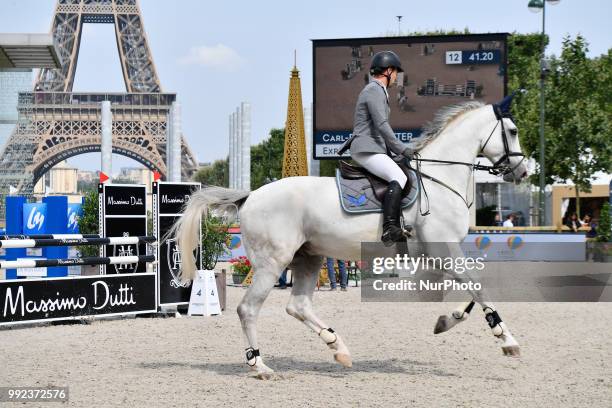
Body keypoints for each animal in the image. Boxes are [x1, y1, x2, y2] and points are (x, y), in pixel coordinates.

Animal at [175, 99, 528, 380]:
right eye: (512, 131)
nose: (523, 172)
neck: (439, 180)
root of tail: (249, 196)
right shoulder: (444, 251)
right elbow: (479, 286)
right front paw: (507, 340)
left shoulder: (441, 255)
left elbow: (474, 287)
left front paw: (446, 320)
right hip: (272, 263)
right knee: (248, 309)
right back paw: (260, 366)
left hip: (309, 257)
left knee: (298, 305)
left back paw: (338, 347)